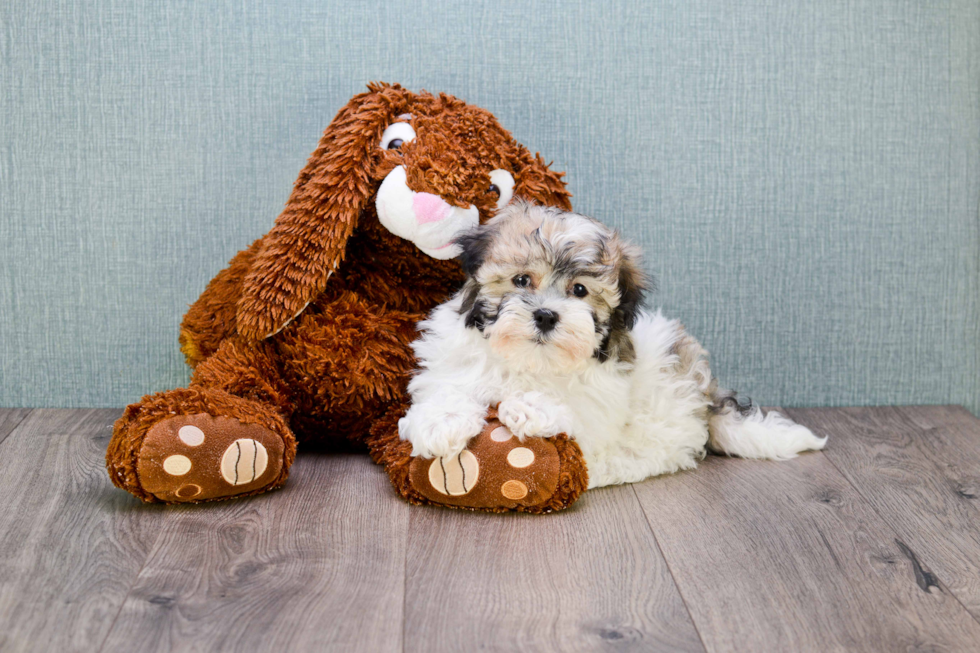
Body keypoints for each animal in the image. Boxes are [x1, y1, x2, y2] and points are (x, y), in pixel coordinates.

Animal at [394, 201, 824, 486]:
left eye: (580, 290)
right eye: (521, 280)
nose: (546, 315)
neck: (532, 360)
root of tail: (705, 395)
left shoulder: (602, 398)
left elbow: (577, 412)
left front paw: (532, 406)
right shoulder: (452, 361)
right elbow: (449, 386)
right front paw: (441, 422)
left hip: (664, 404)